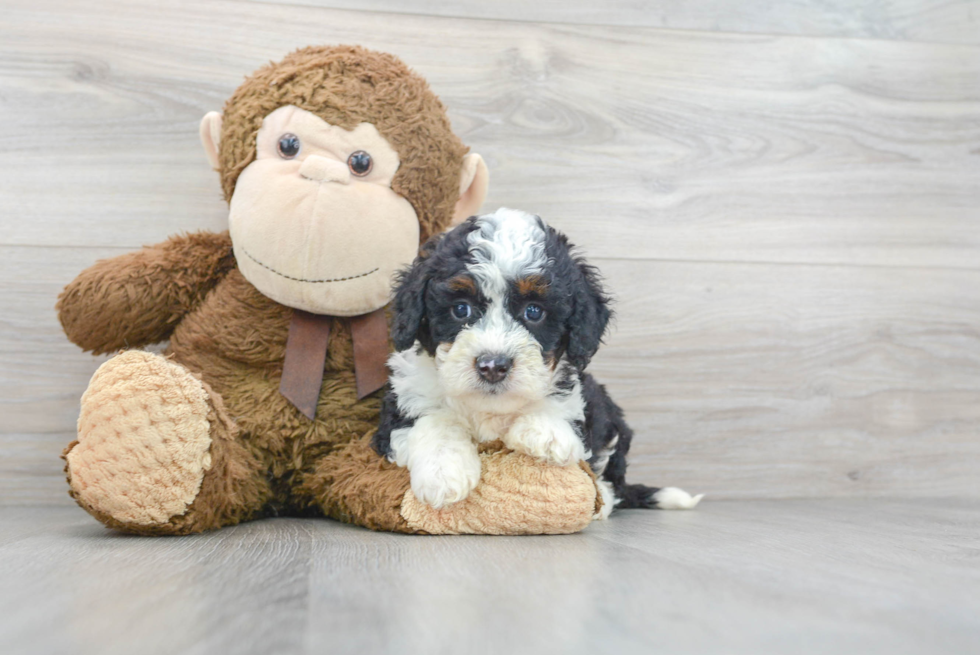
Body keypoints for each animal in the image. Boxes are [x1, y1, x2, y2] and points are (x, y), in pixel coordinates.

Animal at [372, 209, 700, 516]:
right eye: (460, 309)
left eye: (534, 311)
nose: (493, 366)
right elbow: (431, 420)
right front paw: (443, 473)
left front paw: (546, 433)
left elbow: (561, 405)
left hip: (611, 419)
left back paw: (603, 501)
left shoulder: (580, 401)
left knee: (610, 480)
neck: (489, 409)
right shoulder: (400, 406)